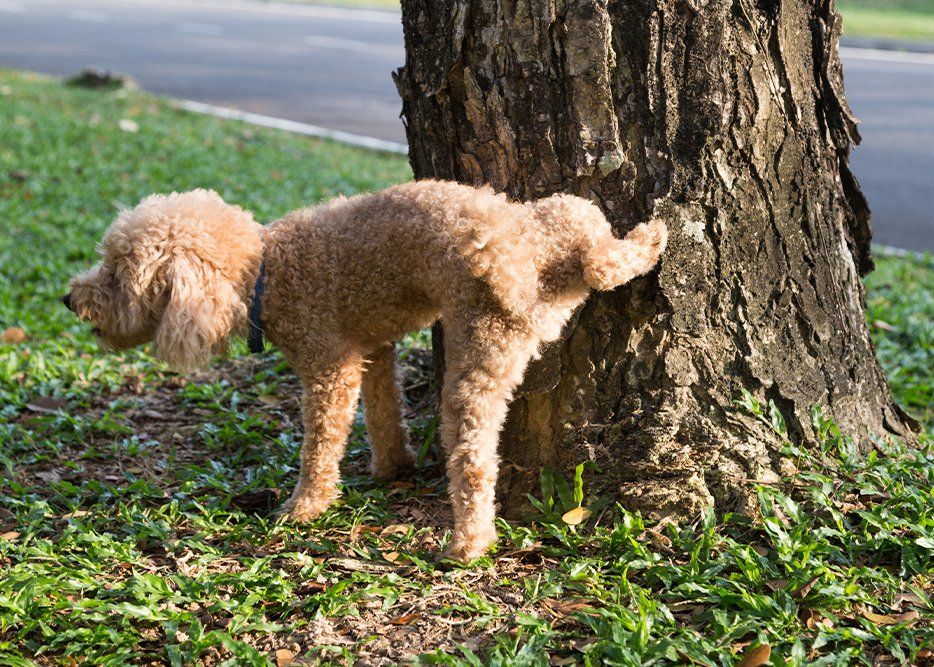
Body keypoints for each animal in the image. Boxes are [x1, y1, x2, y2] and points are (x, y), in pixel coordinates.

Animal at [64, 179, 664, 564]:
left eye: (118, 274)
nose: (70, 299)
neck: (265, 271)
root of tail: (511, 252)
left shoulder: (331, 370)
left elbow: (320, 445)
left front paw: (304, 507)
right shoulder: (375, 350)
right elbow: (383, 414)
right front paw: (392, 467)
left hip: (477, 355)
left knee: (472, 461)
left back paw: (469, 544)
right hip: (568, 215)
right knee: (605, 254)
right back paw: (651, 238)